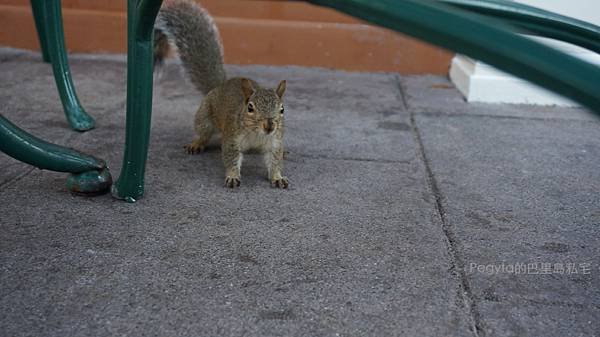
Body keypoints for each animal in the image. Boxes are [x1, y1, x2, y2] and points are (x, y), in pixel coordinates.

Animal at [154, 0, 288, 188]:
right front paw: (232, 176)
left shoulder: (275, 142)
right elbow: (231, 157)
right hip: (204, 118)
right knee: (204, 133)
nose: (269, 126)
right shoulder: (232, 138)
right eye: (250, 108)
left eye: (282, 109)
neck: (257, 134)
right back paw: (196, 144)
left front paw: (277, 177)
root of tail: (220, 85)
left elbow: (275, 160)